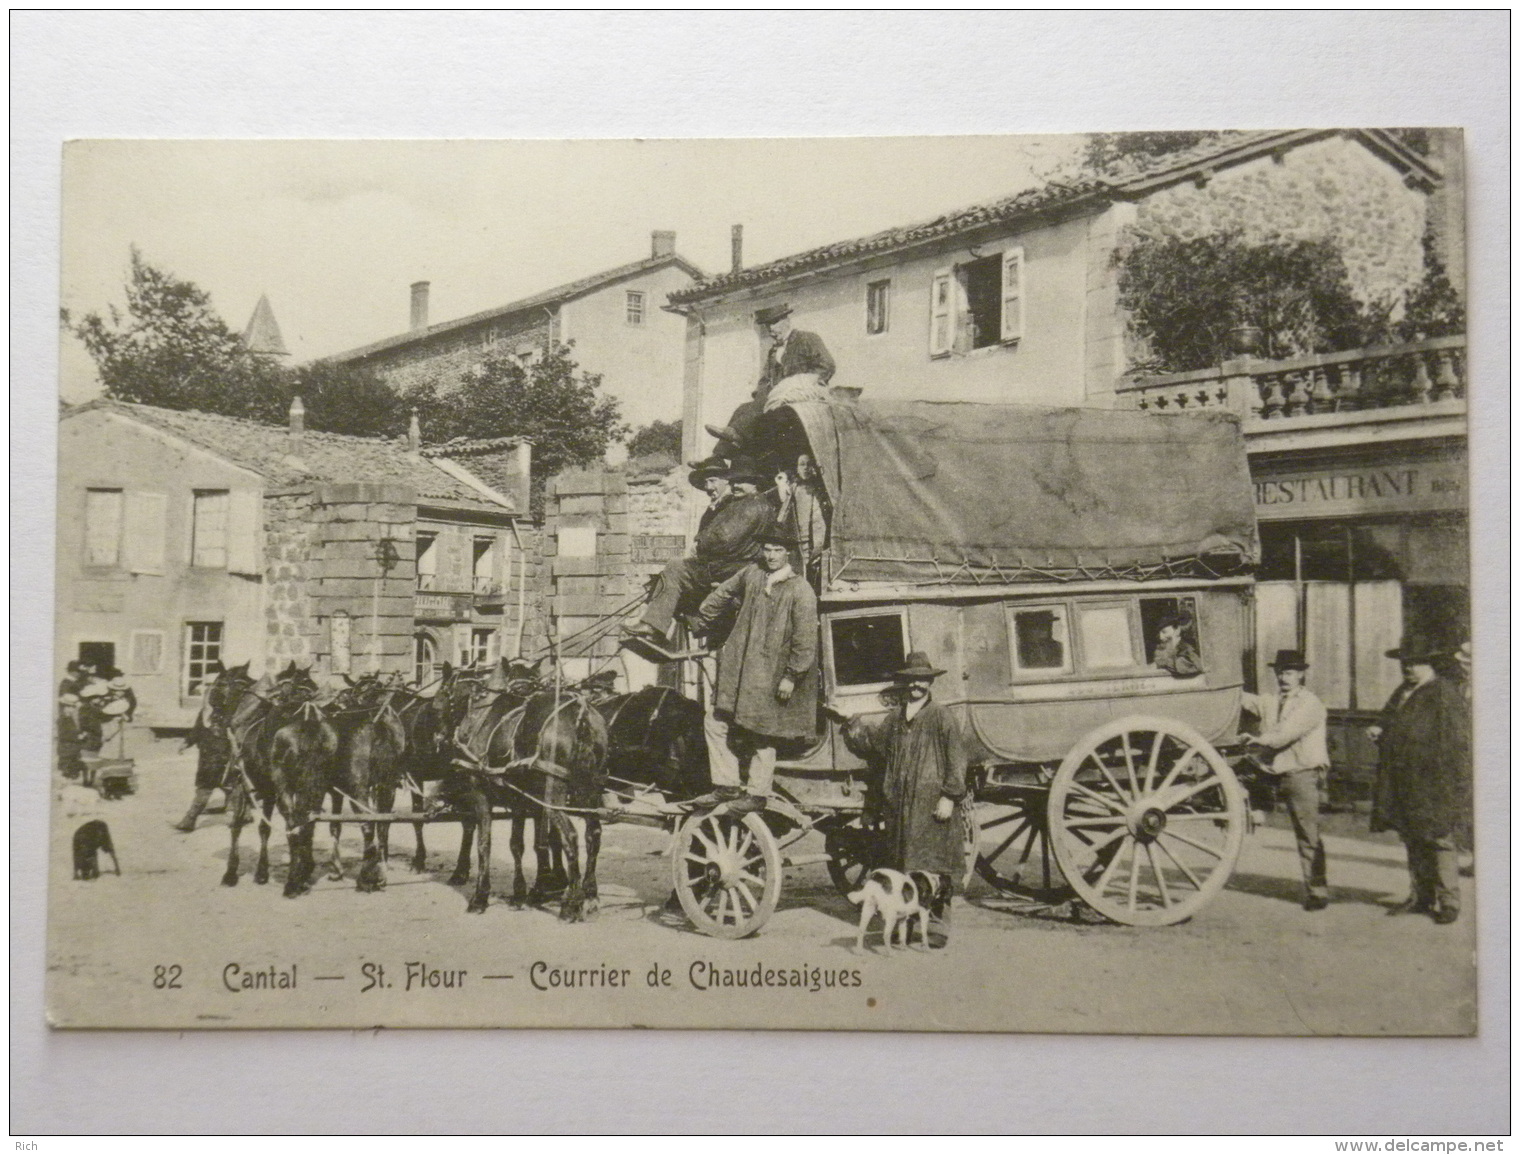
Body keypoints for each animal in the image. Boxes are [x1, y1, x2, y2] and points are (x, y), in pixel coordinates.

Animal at [221, 662, 338, 899]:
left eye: (224, 685)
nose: (220, 719)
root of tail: (309, 722)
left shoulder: (242, 784)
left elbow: (236, 825)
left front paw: (231, 872)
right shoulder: (268, 791)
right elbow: (264, 828)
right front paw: (262, 872)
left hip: (284, 785)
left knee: (294, 824)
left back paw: (292, 883)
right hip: (316, 786)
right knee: (307, 822)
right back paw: (303, 873)